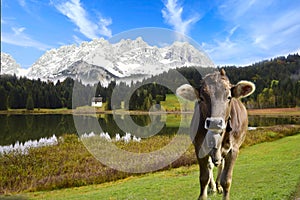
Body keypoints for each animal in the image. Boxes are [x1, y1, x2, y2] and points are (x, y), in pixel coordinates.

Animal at [176, 69, 255, 200]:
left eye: (229, 97)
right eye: (202, 98)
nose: (215, 122)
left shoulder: (233, 149)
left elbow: (226, 180)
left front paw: (222, 189)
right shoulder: (199, 147)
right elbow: (204, 178)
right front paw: (204, 194)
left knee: (220, 166)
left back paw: (218, 186)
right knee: (211, 166)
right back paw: (212, 187)